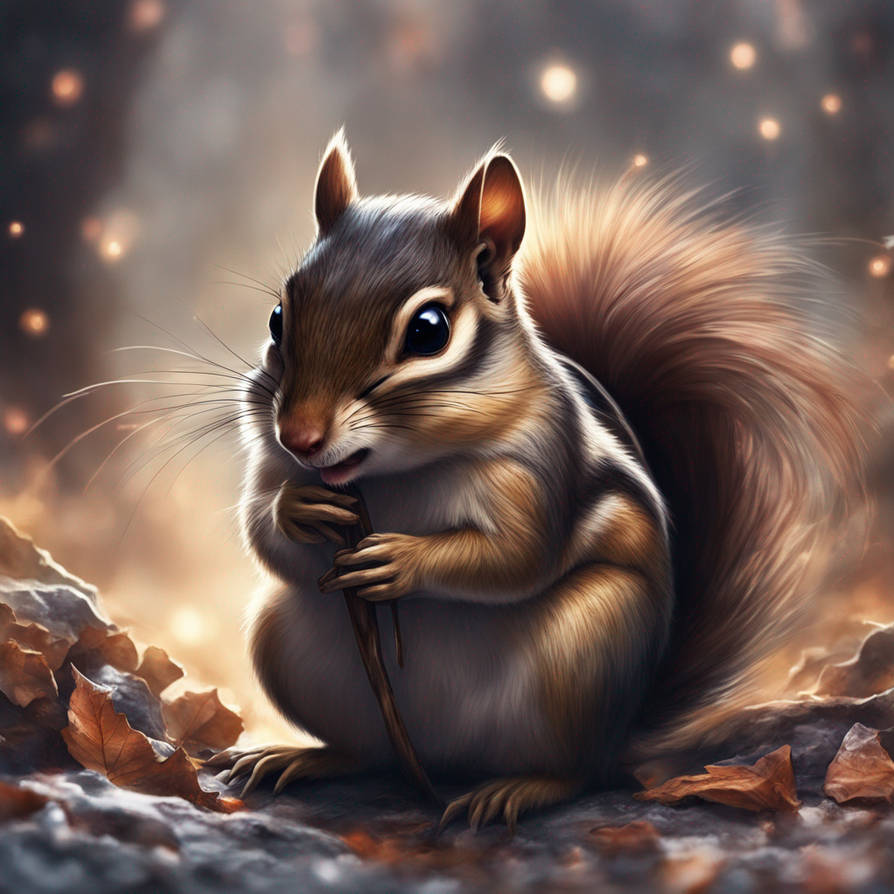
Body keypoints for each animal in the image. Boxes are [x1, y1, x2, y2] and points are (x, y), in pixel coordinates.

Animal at [224, 130, 865, 829]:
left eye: (428, 331)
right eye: (278, 317)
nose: (302, 436)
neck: (401, 469)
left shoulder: (542, 466)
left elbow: (517, 557)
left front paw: (400, 559)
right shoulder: (268, 455)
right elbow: (263, 532)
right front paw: (300, 508)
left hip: (584, 653)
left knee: (577, 773)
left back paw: (515, 791)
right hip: (284, 642)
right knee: (368, 754)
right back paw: (302, 758)